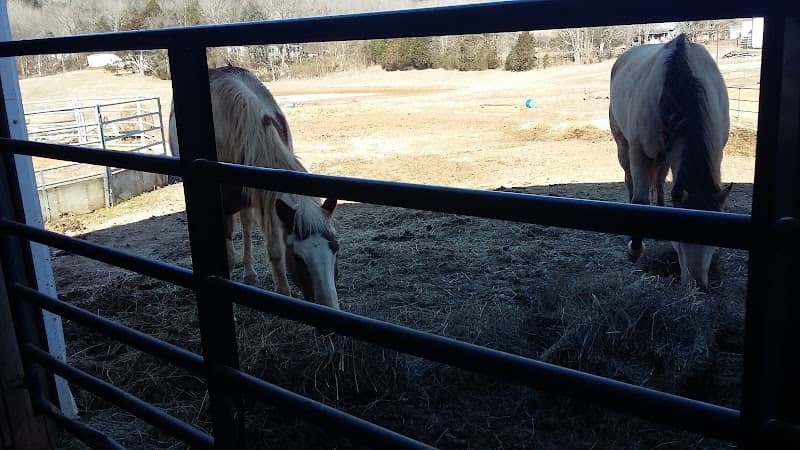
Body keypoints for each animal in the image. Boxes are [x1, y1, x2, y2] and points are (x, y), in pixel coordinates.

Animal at [168, 65, 340, 309]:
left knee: (247, 225)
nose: (329, 308)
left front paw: (282, 291)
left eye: (335, 248)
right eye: (298, 257)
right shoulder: (224, 207)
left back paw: (250, 273)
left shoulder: (268, 200)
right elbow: (228, 254)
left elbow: (275, 248)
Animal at [609, 34, 731, 289]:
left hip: (664, 157)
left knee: (659, 180)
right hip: (624, 147)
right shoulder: (639, 153)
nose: (698, 286)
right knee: (630, 181)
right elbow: (640, 201)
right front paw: (634, 250)